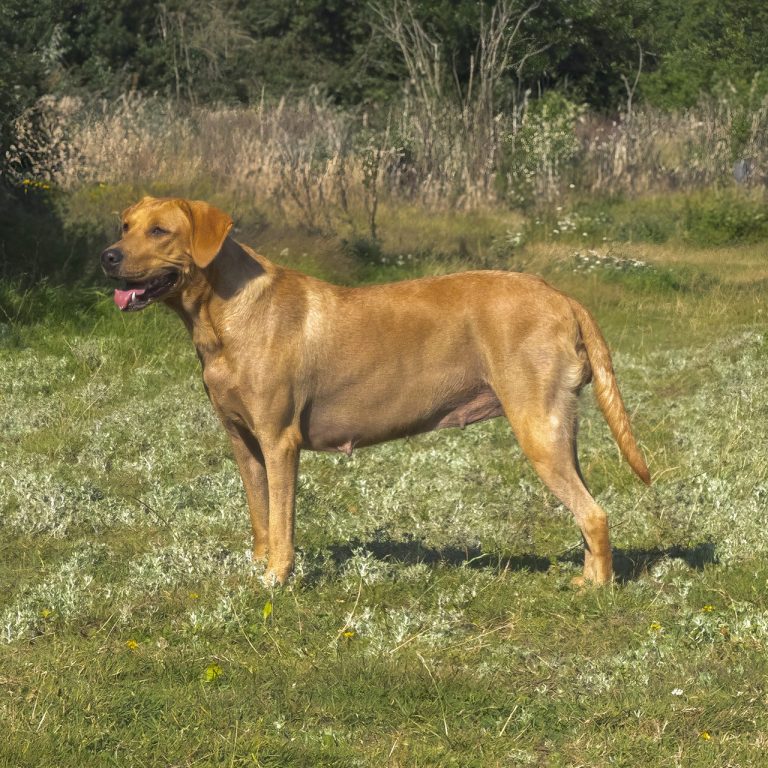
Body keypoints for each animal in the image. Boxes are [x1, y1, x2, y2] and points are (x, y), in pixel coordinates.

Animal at [102, 196, 652, 584]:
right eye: (125, 225)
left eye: (160, 231)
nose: (106, 257)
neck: (224, 314)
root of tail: (563, 297)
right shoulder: (243, 442)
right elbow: (260, 515)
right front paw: (257, 567)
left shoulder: (280, 442)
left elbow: (281, 520)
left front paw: (277, 577)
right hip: (558, 430)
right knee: (587, 511)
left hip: (538, 430)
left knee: (595, 514)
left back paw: (597, 589)